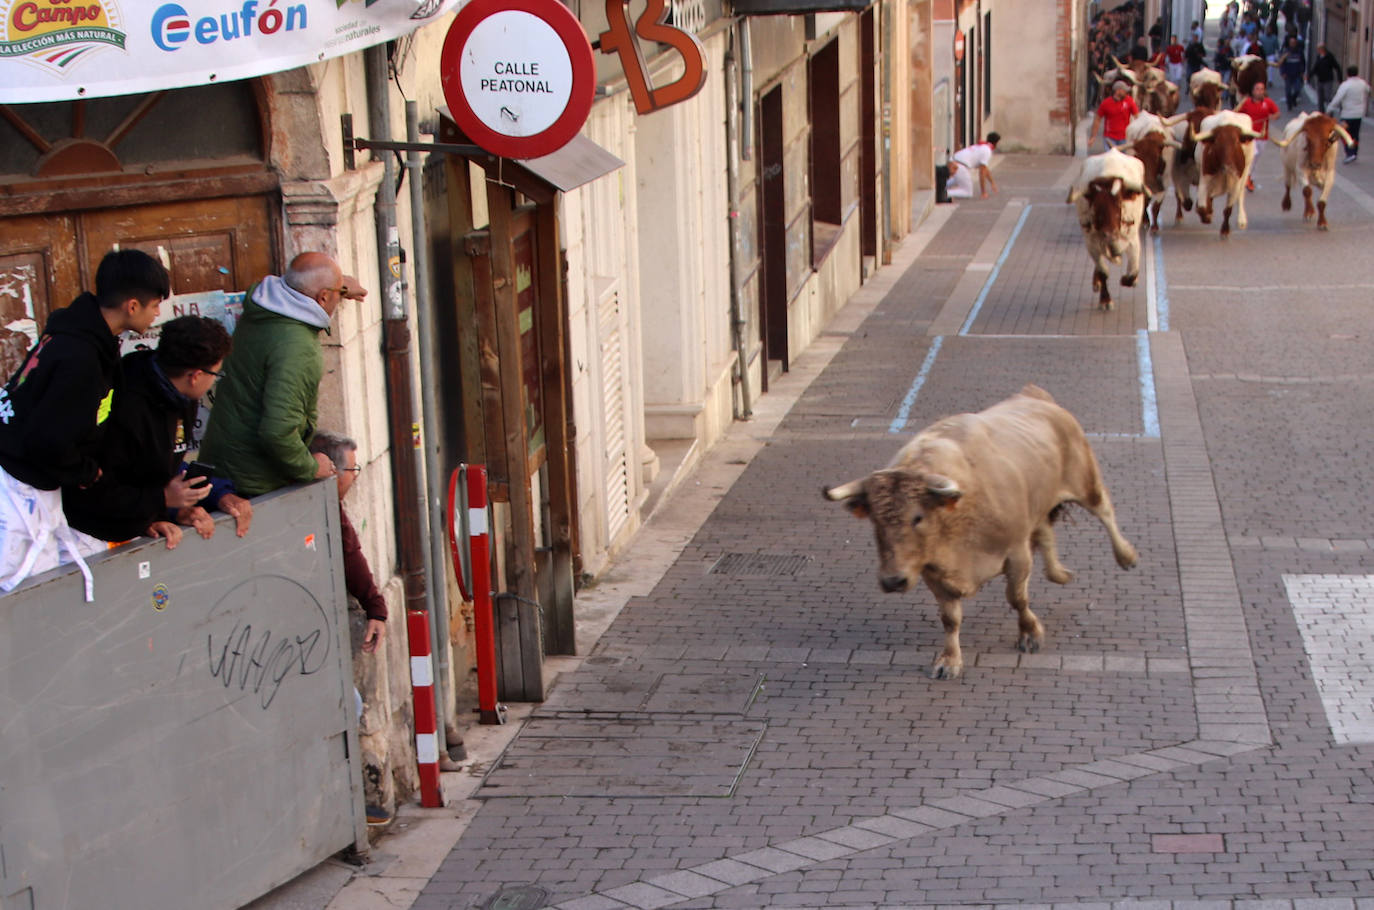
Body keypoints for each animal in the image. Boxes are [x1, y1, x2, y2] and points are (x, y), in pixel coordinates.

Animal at [824, 382, 1137, 676]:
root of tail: (1037, 397)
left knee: (1105, 510)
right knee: (1046, 532)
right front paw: (949, 660)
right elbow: (950, 618)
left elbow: (1017, 598)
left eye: (917, 517)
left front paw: (1030, 633)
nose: (893, 581)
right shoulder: (931, 571)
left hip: (1085, 481)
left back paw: (1126, 556)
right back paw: (1058, 573)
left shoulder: (1017, 554)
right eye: (874, 519)